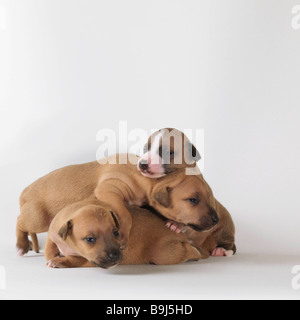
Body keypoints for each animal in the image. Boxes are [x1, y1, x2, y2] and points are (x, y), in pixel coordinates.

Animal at [16, 154, 225, 256]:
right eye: (193, 200)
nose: (216, 220)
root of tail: (24, 192)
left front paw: (174, 224)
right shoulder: (108, 189)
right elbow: (125, 213)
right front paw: (124, 233)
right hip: (38, 218)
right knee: (20, 221)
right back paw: (21, 245)